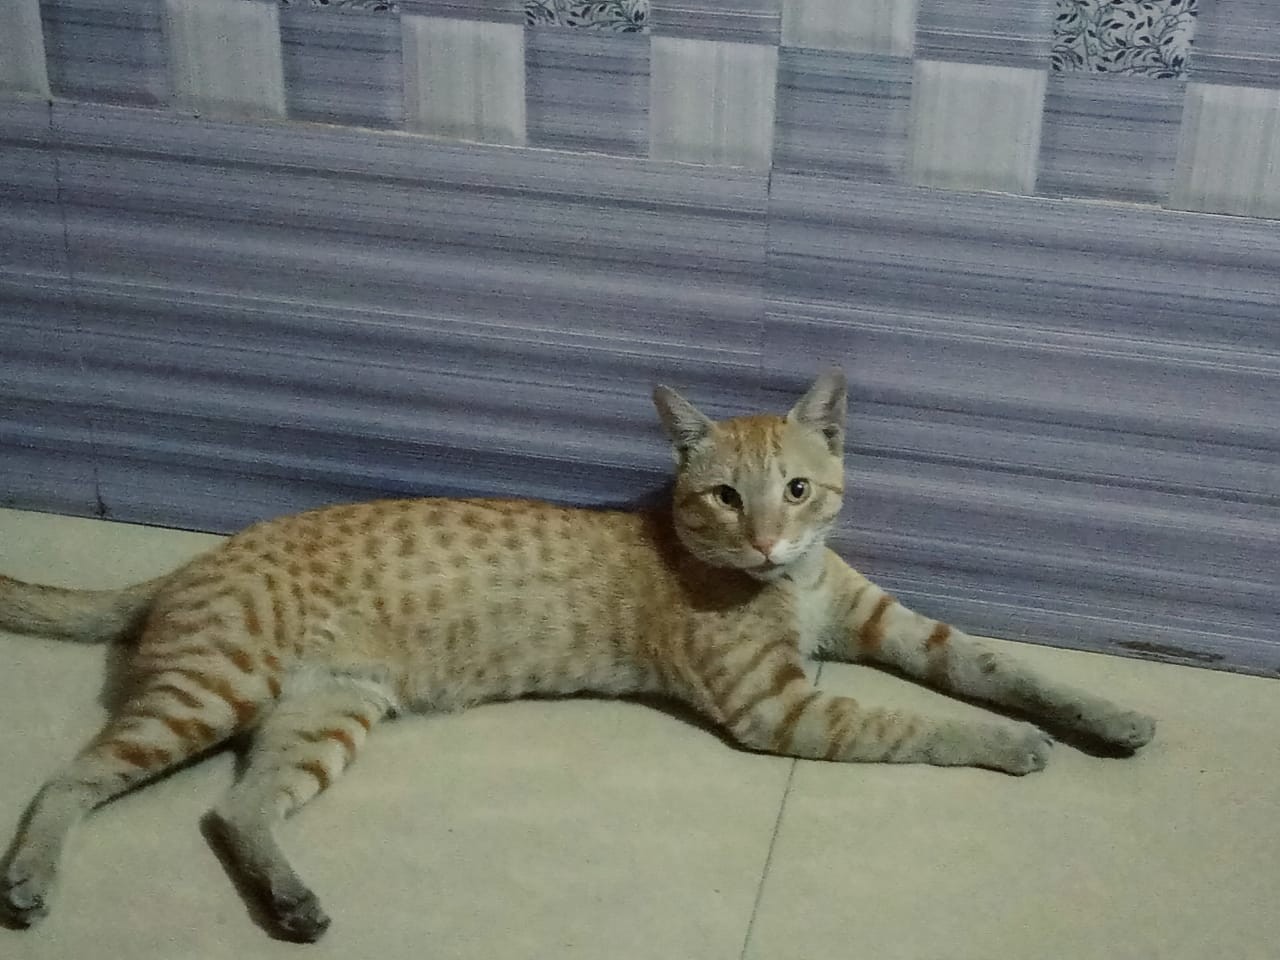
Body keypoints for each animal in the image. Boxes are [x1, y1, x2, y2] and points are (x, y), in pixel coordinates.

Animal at [0, 369, 1155, 942]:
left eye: (796, 490)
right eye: (723, 496)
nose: (768, 542)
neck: (786, 587)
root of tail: (191, 560)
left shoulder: (884, 626)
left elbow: (1000, 669)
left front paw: (1105, 717)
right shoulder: (782, 707)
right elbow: (917, 724)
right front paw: (1010, 746)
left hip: (325, 716)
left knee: (233, 809)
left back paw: (289, 899)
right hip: (208, 693)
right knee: (68, 780)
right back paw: (31, 879)